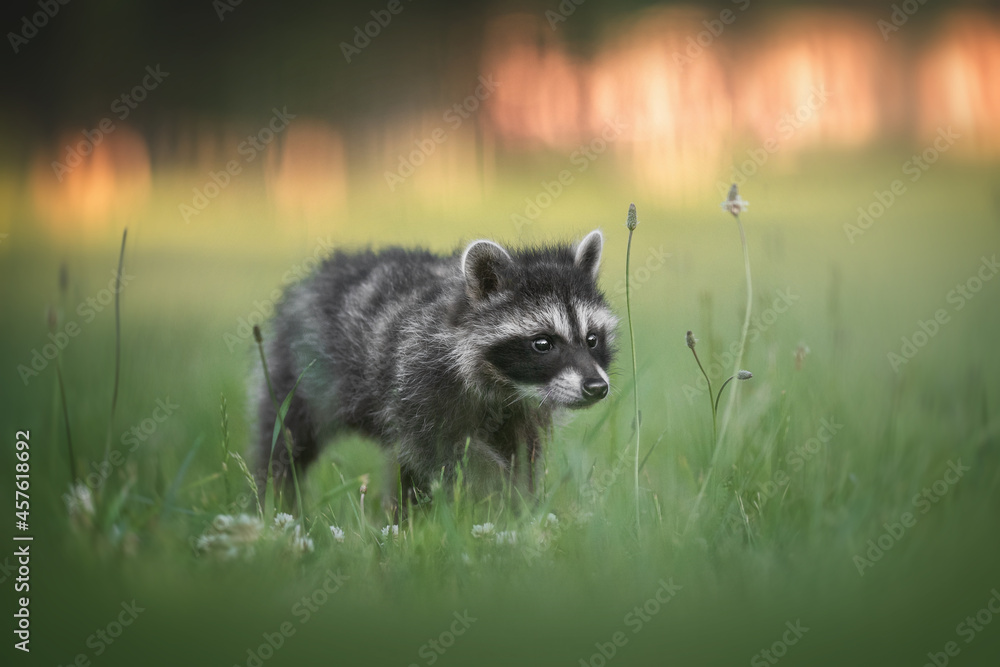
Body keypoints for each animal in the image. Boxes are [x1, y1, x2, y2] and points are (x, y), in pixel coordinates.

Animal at [252, 229, 617, 507]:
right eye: (543, 343)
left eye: (592, 339)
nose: (596, 387)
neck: (505, 386)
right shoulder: (418, 382)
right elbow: (448, 452)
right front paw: (496, 491)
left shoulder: (523, 412)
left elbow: (523, 455)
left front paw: (519, 507)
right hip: (297, 371)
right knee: (283, 439)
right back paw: (273, 498)